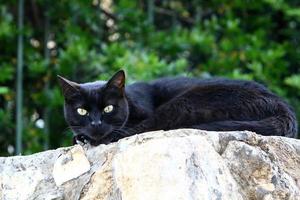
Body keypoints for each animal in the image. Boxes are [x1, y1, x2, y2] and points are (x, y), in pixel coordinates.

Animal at [58, 69, 298, 145]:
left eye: (108, 108)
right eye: (82, 111)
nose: (96, 124)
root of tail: (284, 107)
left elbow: (131, 127)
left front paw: (84, 137)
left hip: (185, 102)